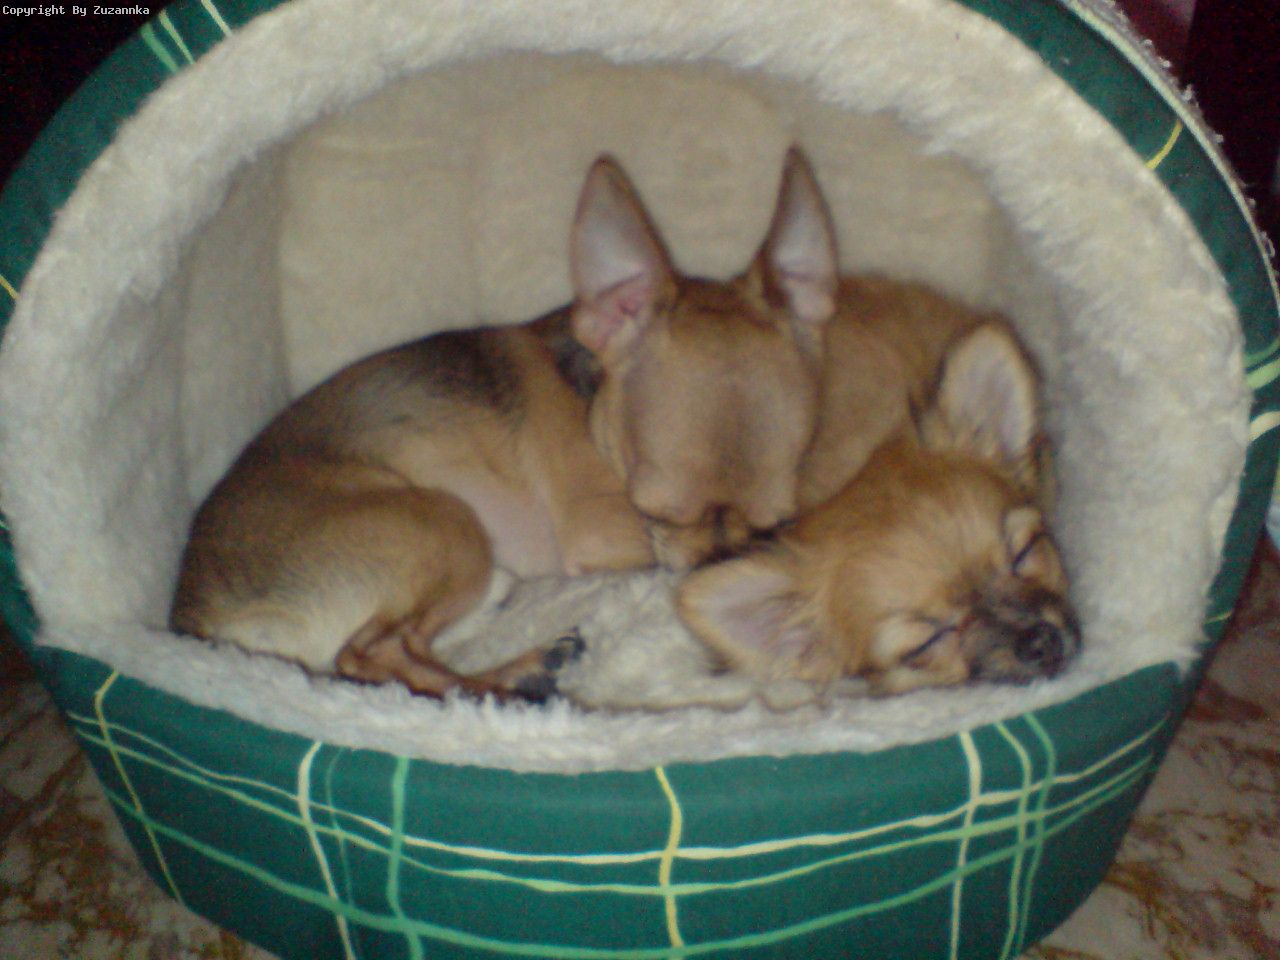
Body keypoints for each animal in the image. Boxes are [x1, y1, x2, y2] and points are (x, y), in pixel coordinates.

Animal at [170, 152, 836, 699]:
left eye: (775, 522)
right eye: (655, 510)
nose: (716, 575)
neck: (591, 407)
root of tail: (200, 619)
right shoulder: (603, 533)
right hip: (448, 524)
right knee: (370, 655)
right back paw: (509, 684)